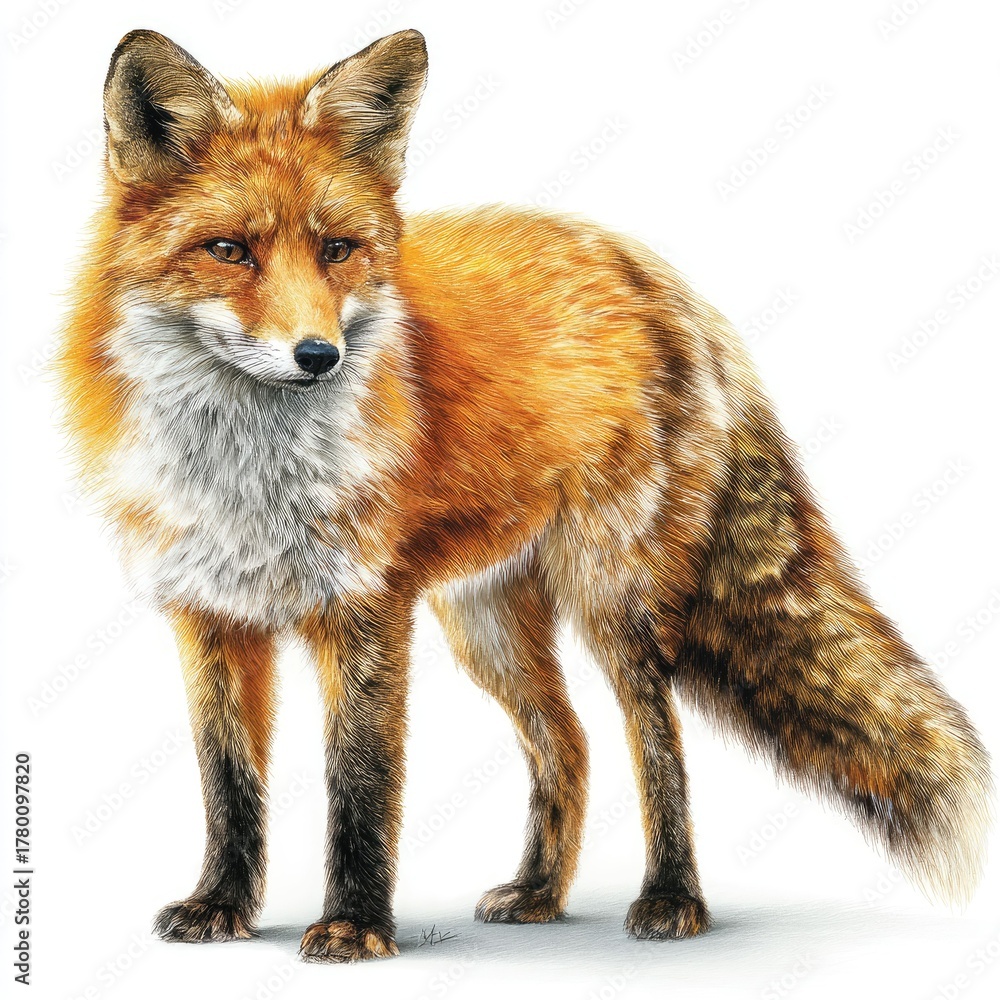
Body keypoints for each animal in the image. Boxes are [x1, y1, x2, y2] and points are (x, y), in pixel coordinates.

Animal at [56, 27, 992, 963]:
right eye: (229, 251)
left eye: (337, 250)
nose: (318, 356)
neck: (248, 474)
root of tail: (650, 272)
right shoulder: (210, 616)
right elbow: (228, 784)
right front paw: (221, 905)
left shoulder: (365, 611)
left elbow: (359, 784)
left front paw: (355, 924)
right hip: (486, 622)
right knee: (566, 741)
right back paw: (541, 892)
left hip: (613, 601)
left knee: (656, 742)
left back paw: (672, 898)